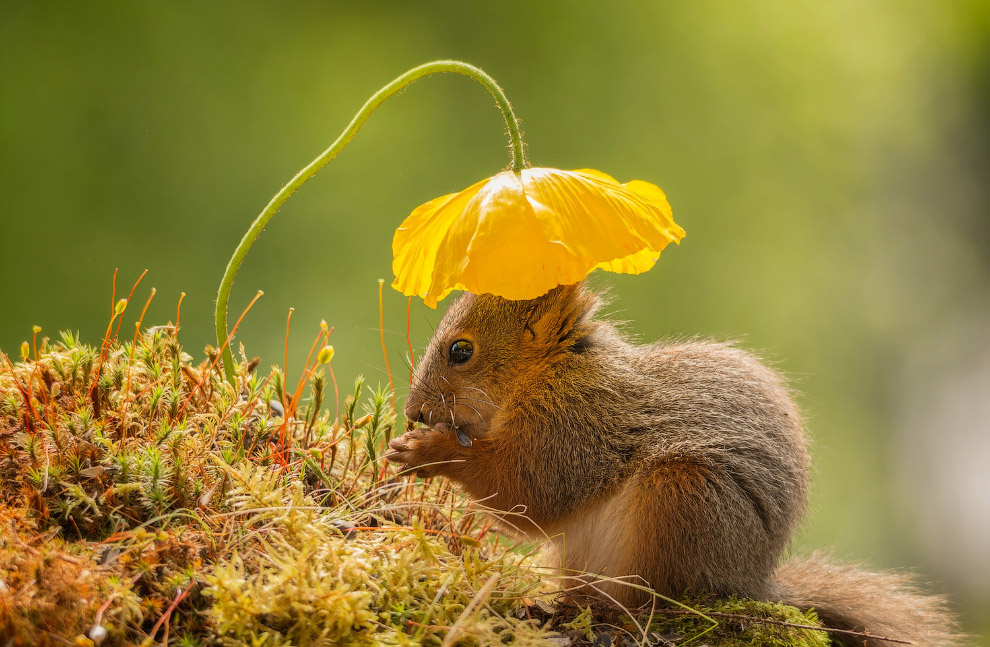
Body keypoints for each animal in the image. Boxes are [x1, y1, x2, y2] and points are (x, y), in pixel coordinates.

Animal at [388, 284, 968, 647]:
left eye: (461, 351)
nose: (414, 411)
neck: (549, 373)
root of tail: (749, 582)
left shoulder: (578, 427)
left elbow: (529, 490)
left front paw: (427, 451)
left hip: (683, 500)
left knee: (660, 602)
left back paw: (617, 612)